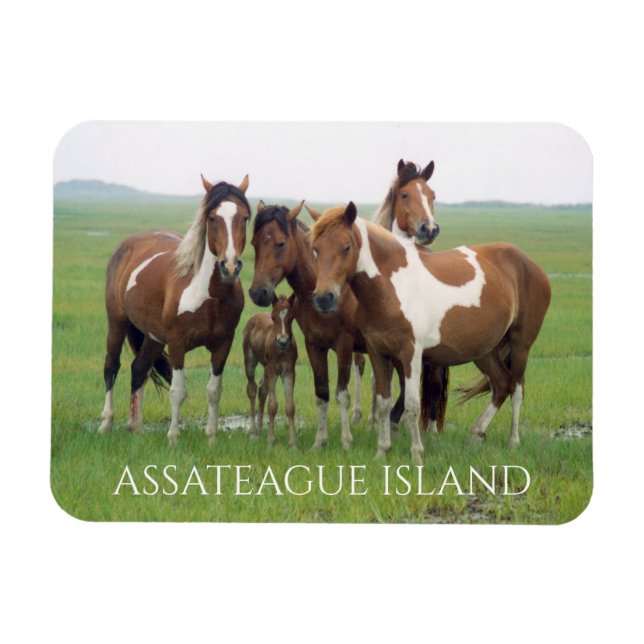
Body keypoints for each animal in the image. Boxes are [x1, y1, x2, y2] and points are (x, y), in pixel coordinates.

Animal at [98, 174, 251, 443]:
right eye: (212, 218)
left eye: (244, 217)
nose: (230, 266)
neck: (207, 295)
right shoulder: (177, 343)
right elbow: (178, 391)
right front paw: (173, 437)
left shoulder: (223, 344)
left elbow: (214, 390)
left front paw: (211, 437)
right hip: (117, 322)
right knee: (111, 367)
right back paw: (106, 424)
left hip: (154, 337)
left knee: (138, 369)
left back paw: (135, 428)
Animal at [243, 294, 298, 447]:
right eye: (273, 317)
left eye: (292, 317)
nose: (283, 342)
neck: (280, 351)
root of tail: (254, 317)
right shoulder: (272, 370)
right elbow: (272, 405)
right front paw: (271, 440)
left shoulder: (289, 371)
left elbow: (290, 406)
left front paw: (293, 443)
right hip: (250, 361)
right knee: (252, 389)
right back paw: (253, 432)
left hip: (266, 368)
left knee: (262, 391)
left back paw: (260, 429)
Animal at [310, 203, 551, 464]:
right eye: (315, 248)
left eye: (346, 247)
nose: (324, 298)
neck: (392, 287)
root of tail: (530, 265)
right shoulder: (378, 352)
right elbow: (384, 402)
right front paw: (382, 451)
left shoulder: (411, 354)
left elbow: (412, 404)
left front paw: (417, 454)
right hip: (484, 351)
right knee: (501, 385)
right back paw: (477, 433)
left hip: (520, 345)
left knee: (516, 389)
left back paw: (513, 442)